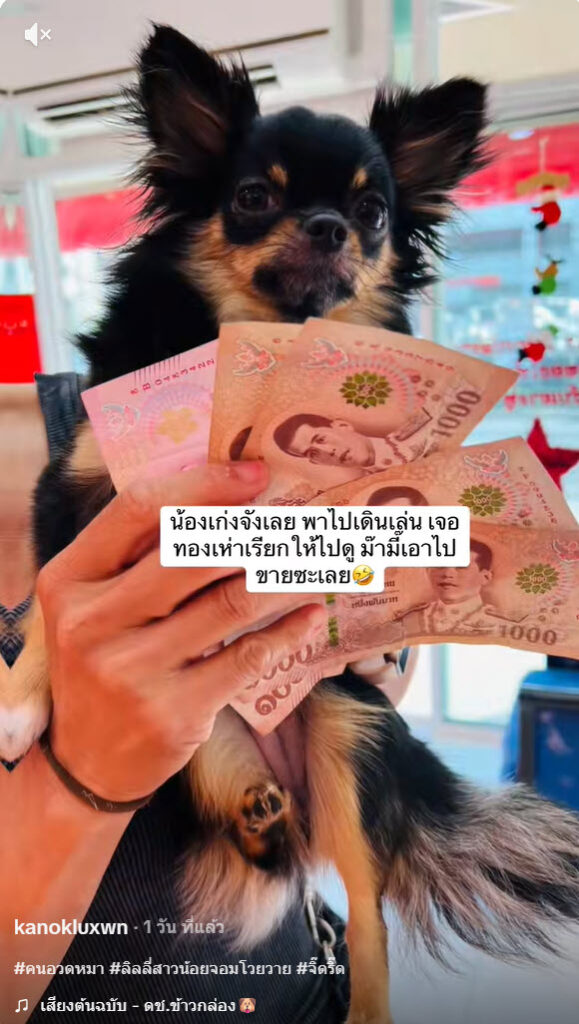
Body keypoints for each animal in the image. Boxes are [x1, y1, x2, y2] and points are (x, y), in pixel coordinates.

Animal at [7, 25, 579, 1024]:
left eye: (374, 214)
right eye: (251, 197)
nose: (327, 226)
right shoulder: (71, 497)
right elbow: (47, 599)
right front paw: (21, 702)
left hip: (347, 736)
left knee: (368, 912)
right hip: (191, 740)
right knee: (268, 836)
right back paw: (261, 817)